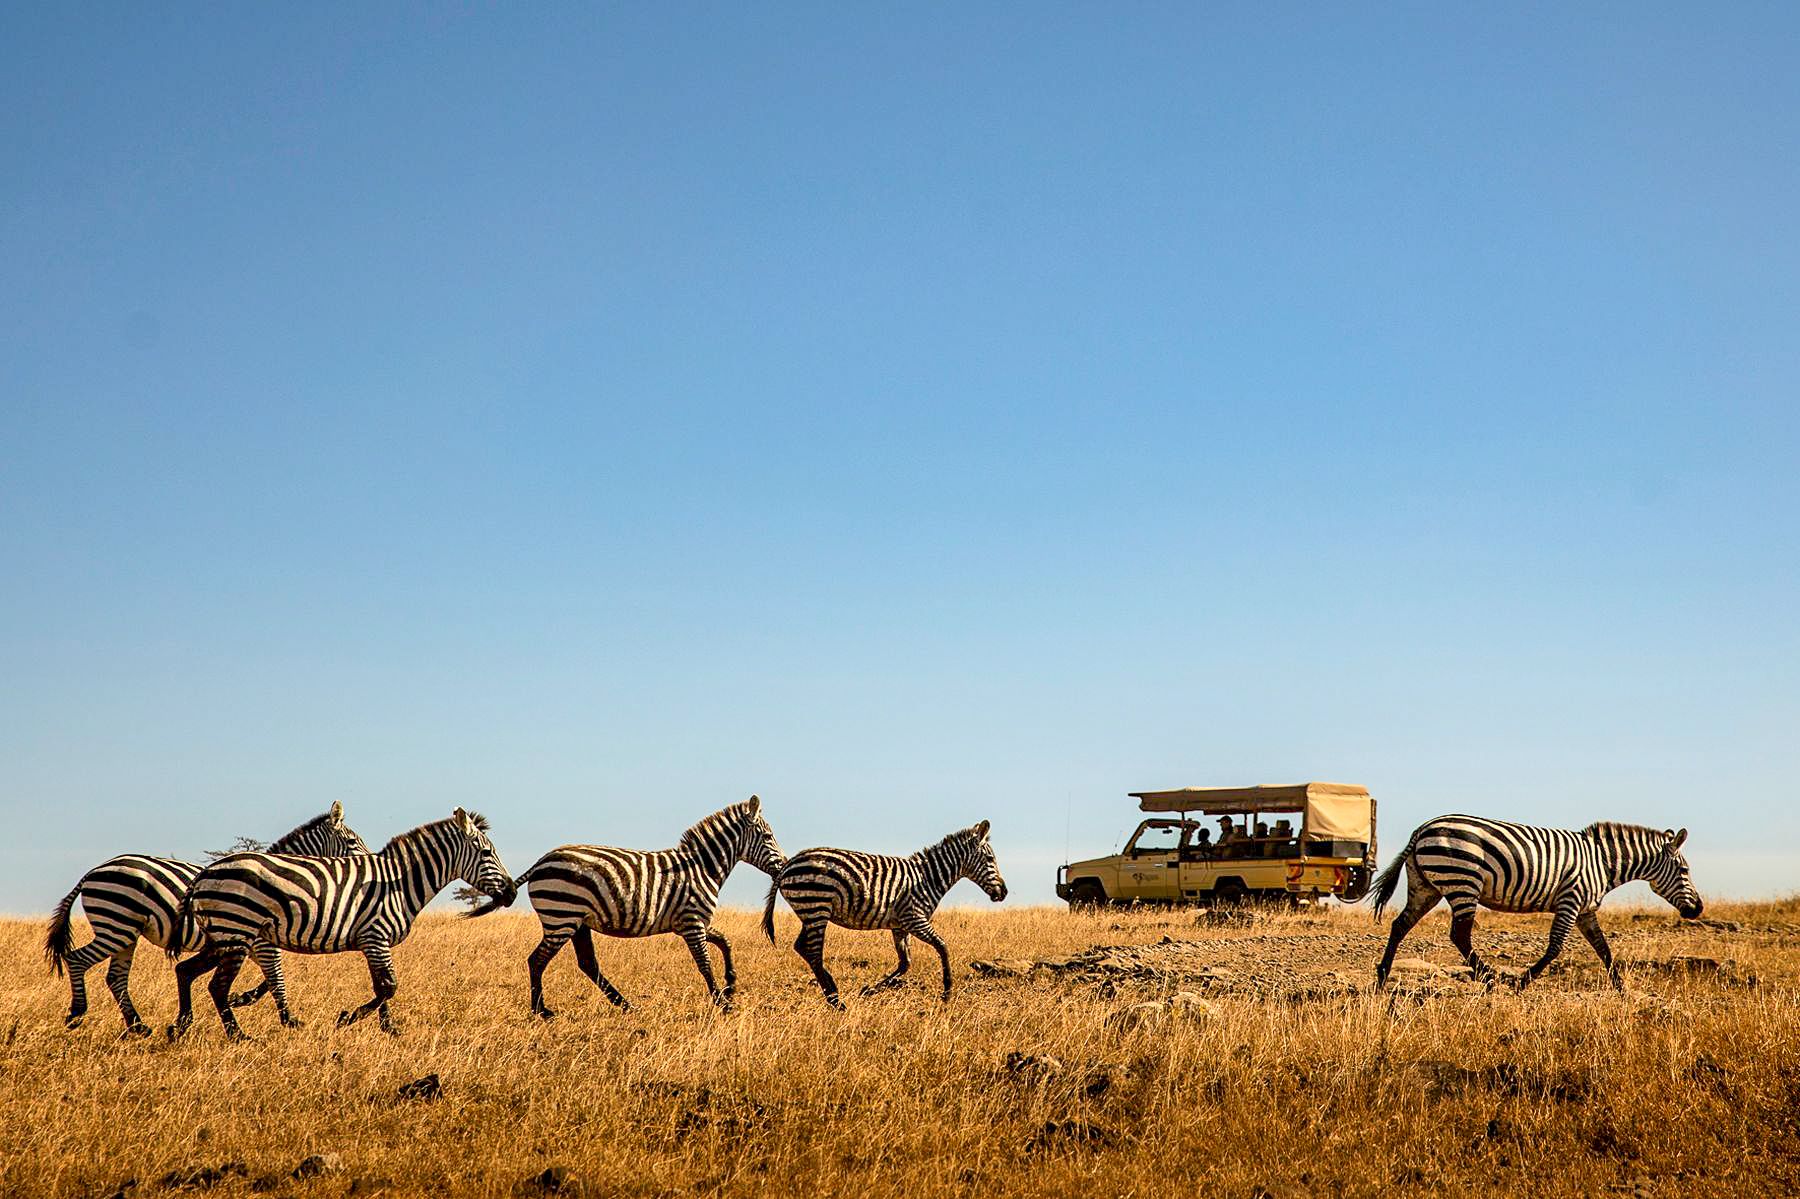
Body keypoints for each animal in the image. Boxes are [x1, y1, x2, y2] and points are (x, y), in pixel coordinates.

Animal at [42, 803, 370, 1037]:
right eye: (354, 841)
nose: (370, 861)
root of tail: (92, 871)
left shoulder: (252, 943)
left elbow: (267, 980)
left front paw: (241, 999)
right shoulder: (261, 942)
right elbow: (276, 977)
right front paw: (288, 1020)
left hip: (126, 932)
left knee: (115, 978)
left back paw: (138, 1026)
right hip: (116, 926)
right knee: (78, 960)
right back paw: (77, 1013)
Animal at [166, 807, 514, 1040]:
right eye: (487, 852)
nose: (511, 893)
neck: (400, 883)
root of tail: (205, 872)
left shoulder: (374, 942)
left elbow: (381, 987)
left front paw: (388, 1028)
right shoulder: (376, 936)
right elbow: (388, 986)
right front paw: (348, 1018)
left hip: (222, 937)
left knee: (185, 971)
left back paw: (180, 1026)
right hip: (237, 934)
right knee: (217, 986)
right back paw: (238, 1036)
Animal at [469, 796, 784, 1017]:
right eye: (768, 837)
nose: (782, 867)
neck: (701, 867)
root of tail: (540, 862)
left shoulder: (692, 922)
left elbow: (725, 942)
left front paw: (731, 985)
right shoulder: (692, 922)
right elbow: (705, 963)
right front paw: (722, 1002)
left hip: (576, 922)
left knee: (587, 963)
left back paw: (623, 1004)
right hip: (561, 917)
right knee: (537, 960)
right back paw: (541, 1010)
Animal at [762, 819, 1006, 1009]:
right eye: (990, 860)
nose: (1003, 893)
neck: (928, 878)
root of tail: (790, 863)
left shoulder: (901, 926)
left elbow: (905, 963)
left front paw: (869, 990)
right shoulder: (915, 919)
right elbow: (942, 947)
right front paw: (947, 991)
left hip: (810, 913)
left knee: (802, 947)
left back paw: (833, 993)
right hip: (817, 908)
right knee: (812, 952)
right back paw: (835, 999)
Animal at [1370, 815, 1703, 991]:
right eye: (1685, 871)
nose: (1698, 909)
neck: (1602, 863)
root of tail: (1422, 829)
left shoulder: (1585, 910)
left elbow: (1604, 949)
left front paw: (1621, 987)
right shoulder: (1571, 900)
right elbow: (1555, 947)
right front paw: (1522, 982)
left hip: (1425, 886)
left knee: (1400, 925)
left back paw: (1382, 975)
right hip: (1463, 881)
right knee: (1460, 935)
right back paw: (1489, 977)